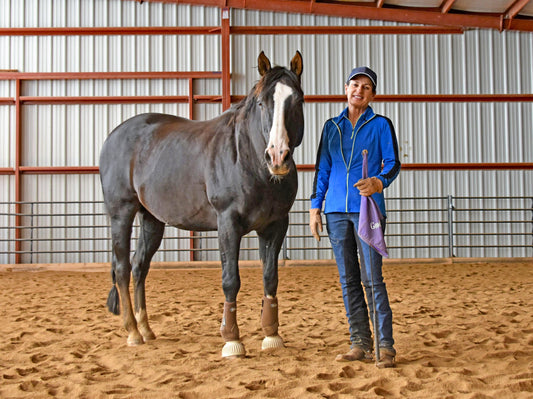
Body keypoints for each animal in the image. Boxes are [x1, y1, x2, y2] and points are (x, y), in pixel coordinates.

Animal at [97, 51, 302, 358]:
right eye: (261, 103)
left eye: (297, 100)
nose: (278, 157)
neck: (248, 160)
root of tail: (114, 136)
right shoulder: (228, 223)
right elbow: (231, 280)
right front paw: (232, 341)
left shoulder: (275, 225)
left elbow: (270, 277)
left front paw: (271, 335)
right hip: (121, 213)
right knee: (122, 268)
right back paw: (132, 332)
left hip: (151, 220)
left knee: (139, 267)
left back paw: (146, 330)